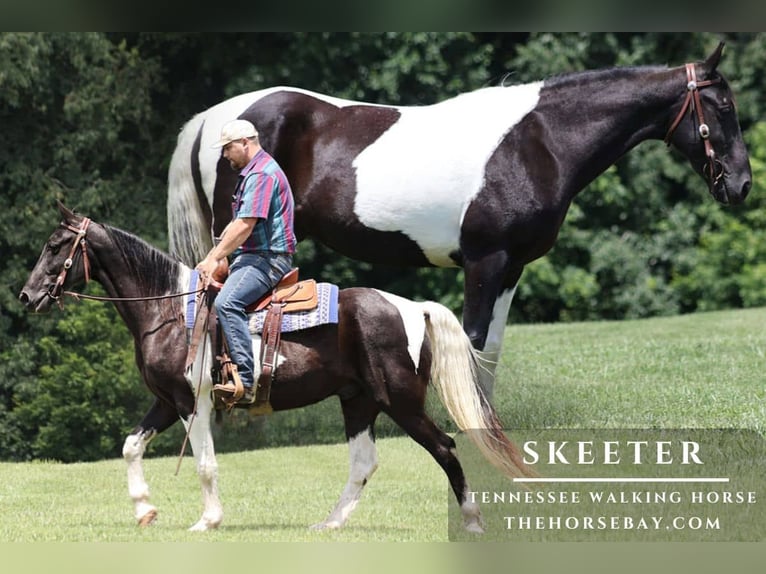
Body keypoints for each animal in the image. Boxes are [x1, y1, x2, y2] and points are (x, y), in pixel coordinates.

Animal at [19, 201, 536, 533]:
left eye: (56, 246)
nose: (26, 296)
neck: (167, 308)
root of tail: (413, 307)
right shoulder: (167, 401)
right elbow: (130, 447)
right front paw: (145, 511)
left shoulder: (194, 402)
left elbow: (205, 463)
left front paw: (208, 520)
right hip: (359, 402)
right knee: (364, 462)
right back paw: (330, 523)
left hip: (402, 402)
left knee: (446, 447)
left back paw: (472, 522)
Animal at [166, 42, 752, 396]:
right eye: (722, 108)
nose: (742, 184)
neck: (537, 140)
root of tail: (212, 119)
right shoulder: (485, 260)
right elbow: (470, 342)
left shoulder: (511, 267)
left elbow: (489, 349)